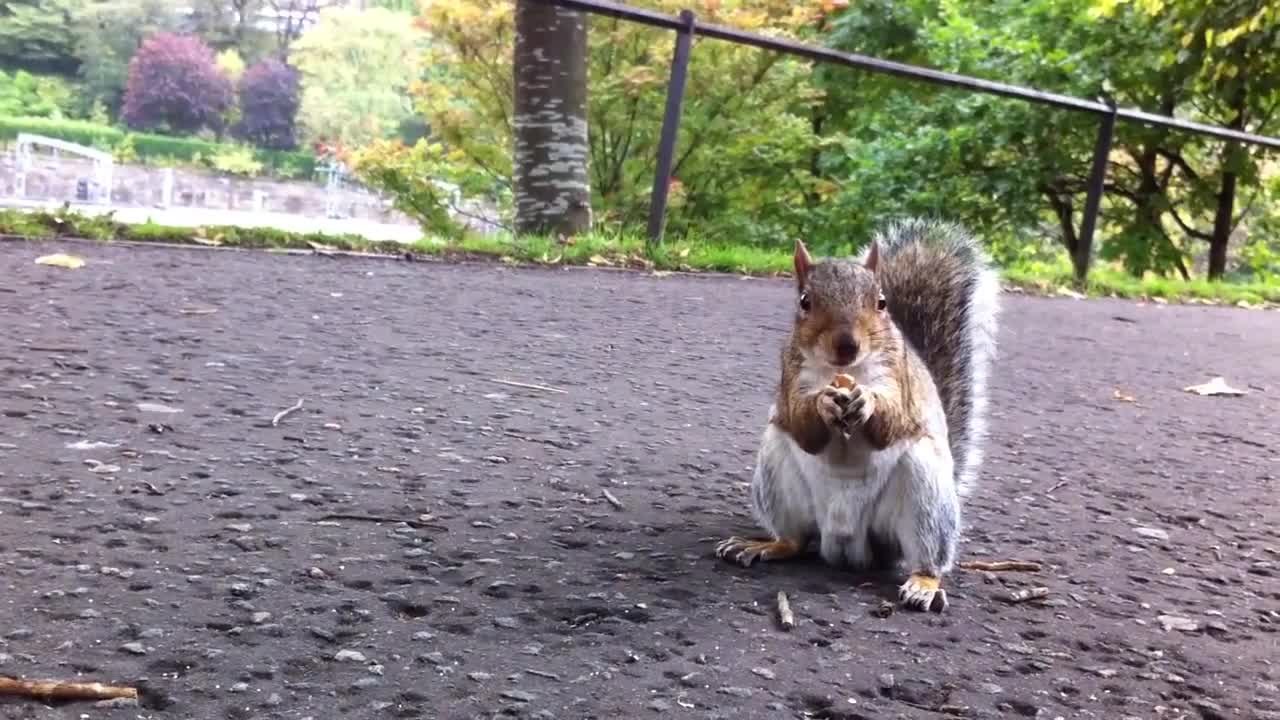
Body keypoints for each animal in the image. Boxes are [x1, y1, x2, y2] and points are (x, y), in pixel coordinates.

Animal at [716, 218, 1000, 613]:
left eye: (881, 303)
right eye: (805, 302)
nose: (847, 344)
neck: (845, 371)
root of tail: (847, 544)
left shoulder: (899, 380)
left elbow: (893, 422)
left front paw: (867, 401)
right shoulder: (791, 376)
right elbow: (804, 428)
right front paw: (823, 403)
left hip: (925, 494)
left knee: (928, 554)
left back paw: (923, 584)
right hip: (776, 472)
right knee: (795, 539)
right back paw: (765, 545)